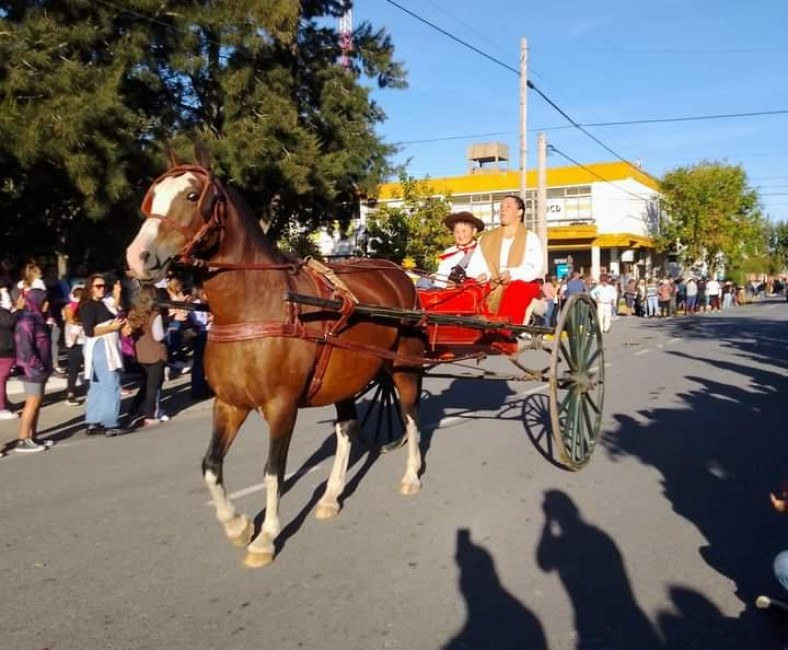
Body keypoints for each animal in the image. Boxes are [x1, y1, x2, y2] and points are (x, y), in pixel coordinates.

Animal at [124, 143, 424, 568]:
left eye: (192, 195)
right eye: (151, 198)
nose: (137, 256)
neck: (257, 305)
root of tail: (396, 272)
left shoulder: (282, 405)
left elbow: (273, 471)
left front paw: (265, 538)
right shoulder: (229, 404)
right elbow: (211, 466)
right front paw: (236, 524)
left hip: (403, 367)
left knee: (411, 417)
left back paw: (411, 475)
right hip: (347, 375)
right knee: (348, 429)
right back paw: (331, 496)